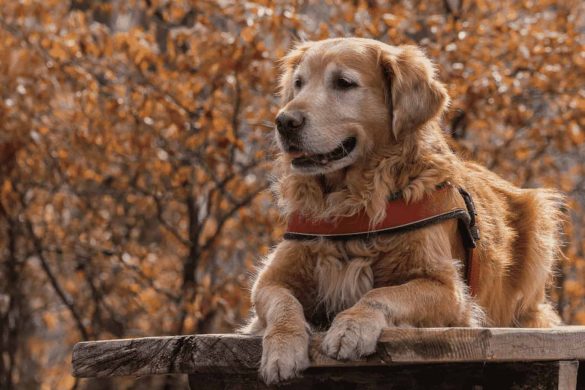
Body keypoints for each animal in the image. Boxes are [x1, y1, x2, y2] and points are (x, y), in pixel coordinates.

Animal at [241, 37, 560, 384]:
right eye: (298, 83)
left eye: (343, 83)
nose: (284, 122)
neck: (353, 203)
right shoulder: (270, 280)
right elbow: (283, 304)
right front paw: (282, 349)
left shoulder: (448, 290)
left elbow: (381, 295)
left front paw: (350, 328)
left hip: (541, 217)